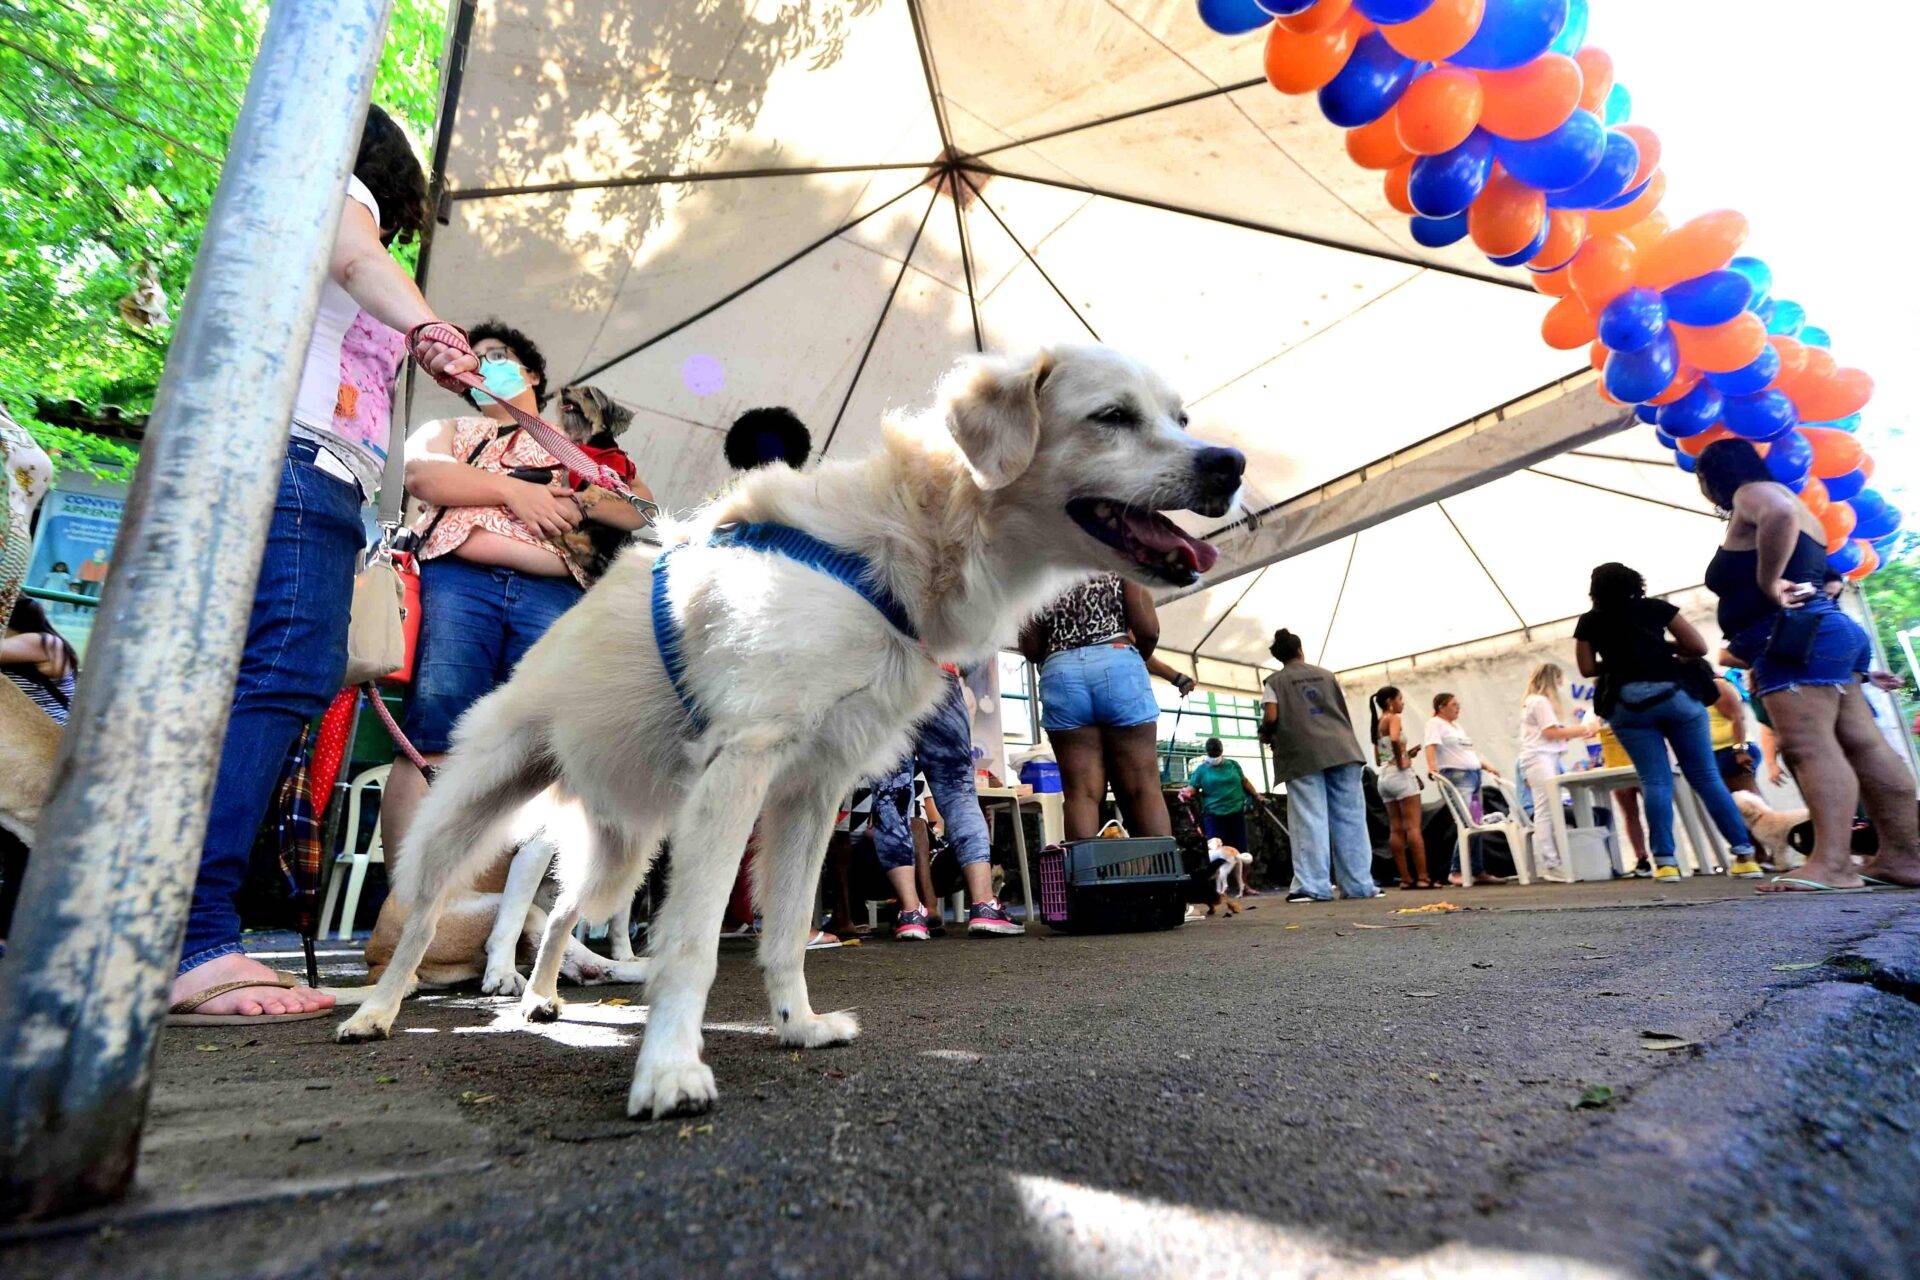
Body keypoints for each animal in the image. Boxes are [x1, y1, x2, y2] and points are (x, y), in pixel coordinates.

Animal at [337, 345, 1244, 1113]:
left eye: (1180, 417)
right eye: (1112, 416)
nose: (1229, 465)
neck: (907, 540)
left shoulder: (810, 792)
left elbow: (784, 935)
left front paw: (796, 1025)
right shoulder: (743, 765)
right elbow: (696, 940)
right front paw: (670, 1066)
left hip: (627, 844)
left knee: (562, 915)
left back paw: (540, 998)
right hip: (469, 809)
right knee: (425, 915)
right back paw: (379, 1009)